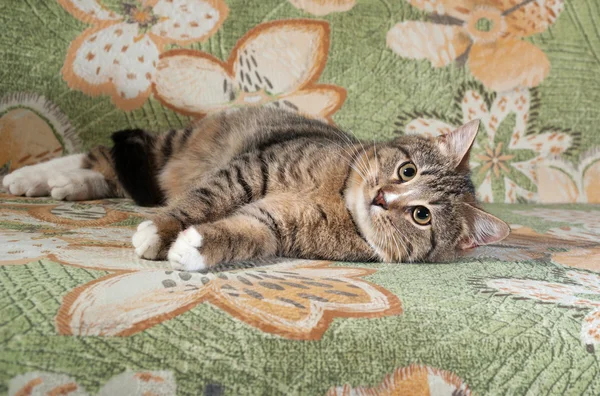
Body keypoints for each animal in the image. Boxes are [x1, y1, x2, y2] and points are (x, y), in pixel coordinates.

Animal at [3, 106, 510, 270]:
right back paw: (31, 177)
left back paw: (66, 185)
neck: (338, 199)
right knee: (102, 155)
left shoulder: (275, 223)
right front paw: (159, 232)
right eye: (407, 171)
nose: (382, 198)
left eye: (421, 215)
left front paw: (193, 248)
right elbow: (198, 202)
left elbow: (243, 234)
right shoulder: (252, 169)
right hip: (178, 145)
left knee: (108, 172)